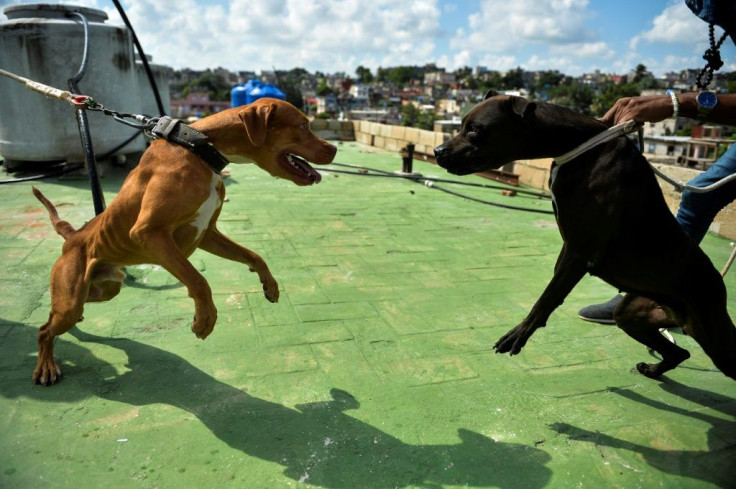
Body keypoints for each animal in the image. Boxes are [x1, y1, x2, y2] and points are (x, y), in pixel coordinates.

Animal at [31, 96, 336, 386]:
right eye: (303, 126)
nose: (333, 149)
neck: (200, 148)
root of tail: (73, 237)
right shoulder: (149, 232)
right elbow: (198, 281)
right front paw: (205, 320)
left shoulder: (209, 233)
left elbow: (253, 255)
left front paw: (270, 286)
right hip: (72, 299)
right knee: (45, 331)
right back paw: (46, 366)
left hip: (103, 289)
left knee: (57, 317)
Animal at [434, 91, 732, 382]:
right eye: (463, 125)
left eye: (475, 129)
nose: (437, 151)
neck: (578, 147)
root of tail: (718, 283)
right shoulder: (570, 248)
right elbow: (553, 287)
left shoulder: (580, 252)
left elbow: (547, 296)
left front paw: (520, 332)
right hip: (631, 316)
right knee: (680, 352)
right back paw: (653, 369)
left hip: (712, 334)